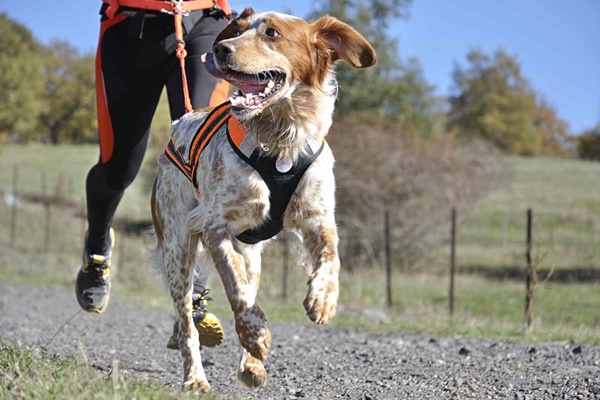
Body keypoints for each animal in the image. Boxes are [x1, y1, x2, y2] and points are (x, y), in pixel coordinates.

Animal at [150, 7, 376, 392]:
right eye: (237, 30)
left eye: (272, 33)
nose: (220, 49)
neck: (281, 141)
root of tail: (182, 120)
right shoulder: (217, 227)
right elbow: (237, 291)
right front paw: (255, 334)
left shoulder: (317, 218)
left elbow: (331, 259)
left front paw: (323, 299)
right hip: (178, 248)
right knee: (188, 325)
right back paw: (196, 377)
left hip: (251, 253)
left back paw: (251, 366)